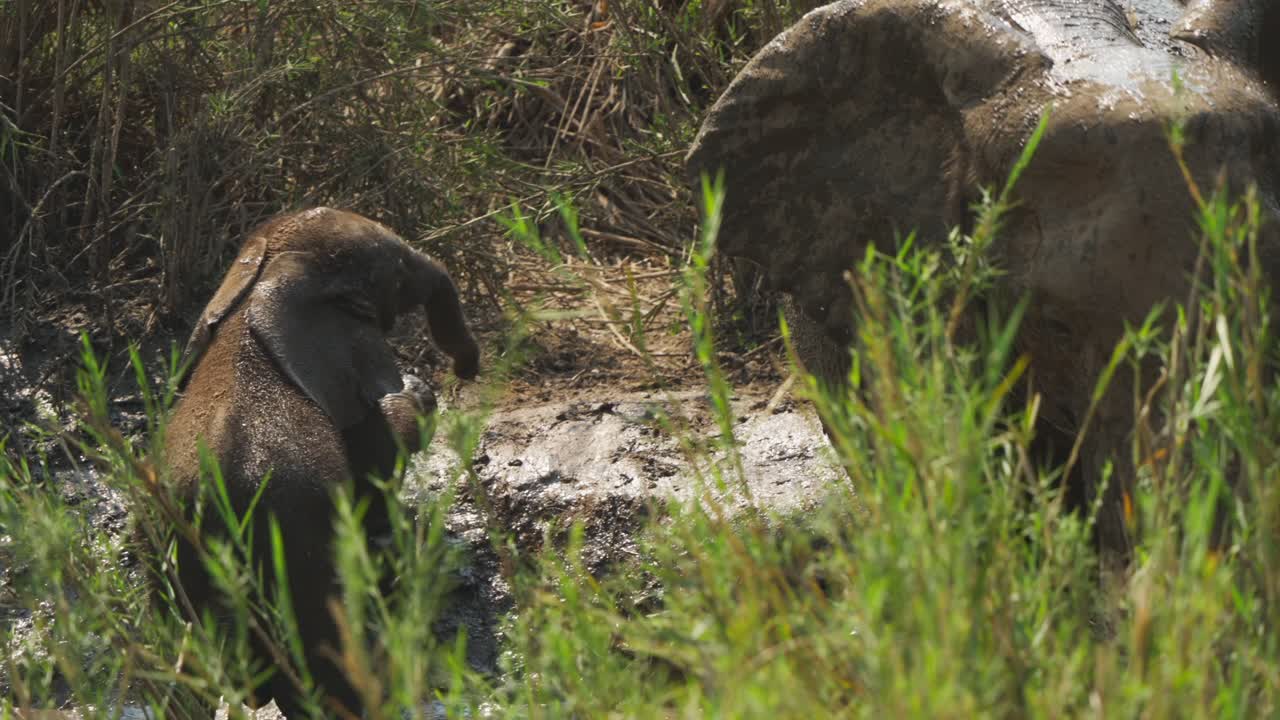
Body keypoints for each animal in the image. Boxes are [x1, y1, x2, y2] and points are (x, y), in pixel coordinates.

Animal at [149, 207, 480, 717]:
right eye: (395, 271)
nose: (467, 371)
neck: (266, 271)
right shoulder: (351, 355)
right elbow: (384, 445)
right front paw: (417, 393)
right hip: (292, 544)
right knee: (320, 654)